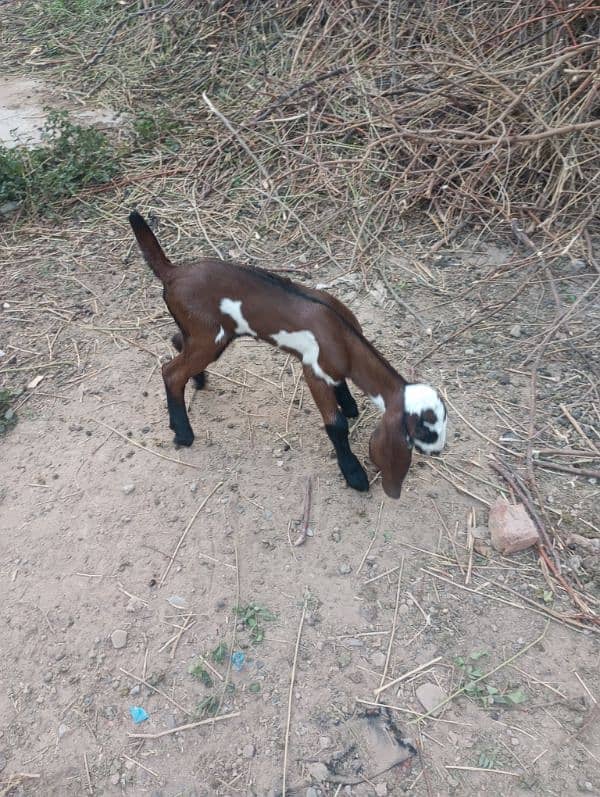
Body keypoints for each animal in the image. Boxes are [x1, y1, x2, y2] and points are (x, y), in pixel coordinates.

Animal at [127, 211, 446, 498]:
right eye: (425, 431)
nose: (439, 450)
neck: (344, 336)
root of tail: (173, 273)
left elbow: (341, 388)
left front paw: (350, 405)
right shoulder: (313, 370)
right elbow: (336, 425)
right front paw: (354, 473)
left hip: (206, 334)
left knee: (178, 342)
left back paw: (199, 381)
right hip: (208, 335)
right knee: (171, 372)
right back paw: (183, 433)